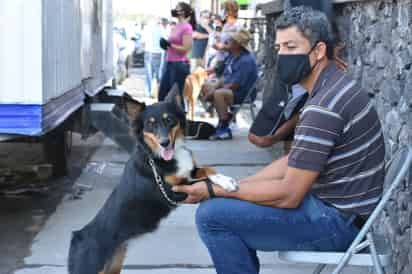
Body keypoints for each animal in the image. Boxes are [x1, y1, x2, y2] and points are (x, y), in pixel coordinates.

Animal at [67, 86, 216, 274]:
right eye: (150, 124)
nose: (165, 143)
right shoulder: (173, 192)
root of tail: (77, 236)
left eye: (170, 120)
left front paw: (225, 178)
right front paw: (229, 184)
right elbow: (205, 182)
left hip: (114, 264)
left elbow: (208, 171)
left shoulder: (190, 173)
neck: (157, 157)